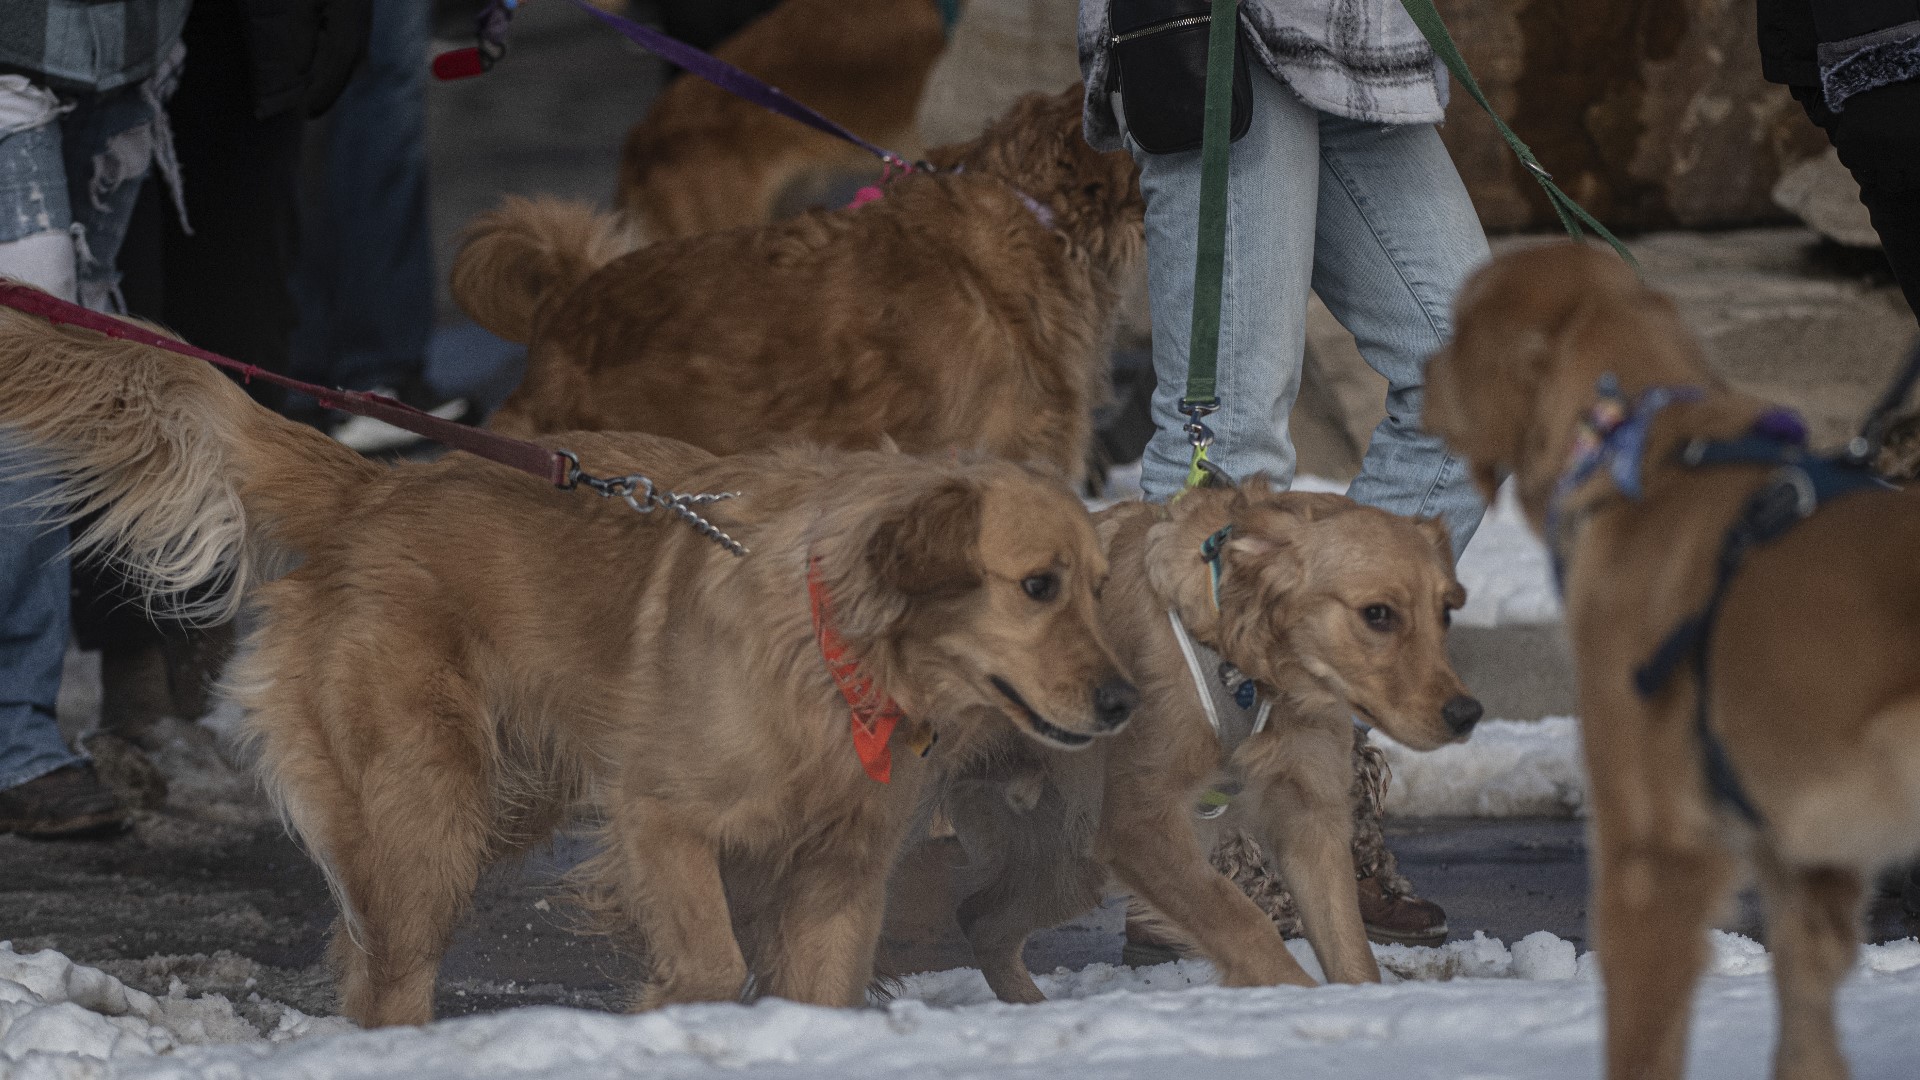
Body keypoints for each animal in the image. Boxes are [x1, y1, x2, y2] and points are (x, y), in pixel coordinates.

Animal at [0, 292, 1136, 1014]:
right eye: (1037, 586)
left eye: (1098, 586)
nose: (1126, 703)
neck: (831, 650)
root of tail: (379, 487)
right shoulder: (661, 822)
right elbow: (709, 963)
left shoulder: (841, 874)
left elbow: (820, 994)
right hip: (430, 814)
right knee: (391, 976)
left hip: (502, 796)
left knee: (361, 958)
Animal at [936, 478, 1474, 999]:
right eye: (1378, 614)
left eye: (1446, 612)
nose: (1467, 714)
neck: (1243, 667)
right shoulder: (1140, 825)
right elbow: (1241, 921)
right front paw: (1295, 997)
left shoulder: (1310, 818)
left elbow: (1352, 951)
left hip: (1071, 858)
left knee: (980, 919)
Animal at [1420, 244, 1920, 1076]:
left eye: (1459, 325)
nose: (1418, 371)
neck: (1643, 456)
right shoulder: (1804, 871)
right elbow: (1805, 1041)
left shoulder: (1651, 856)